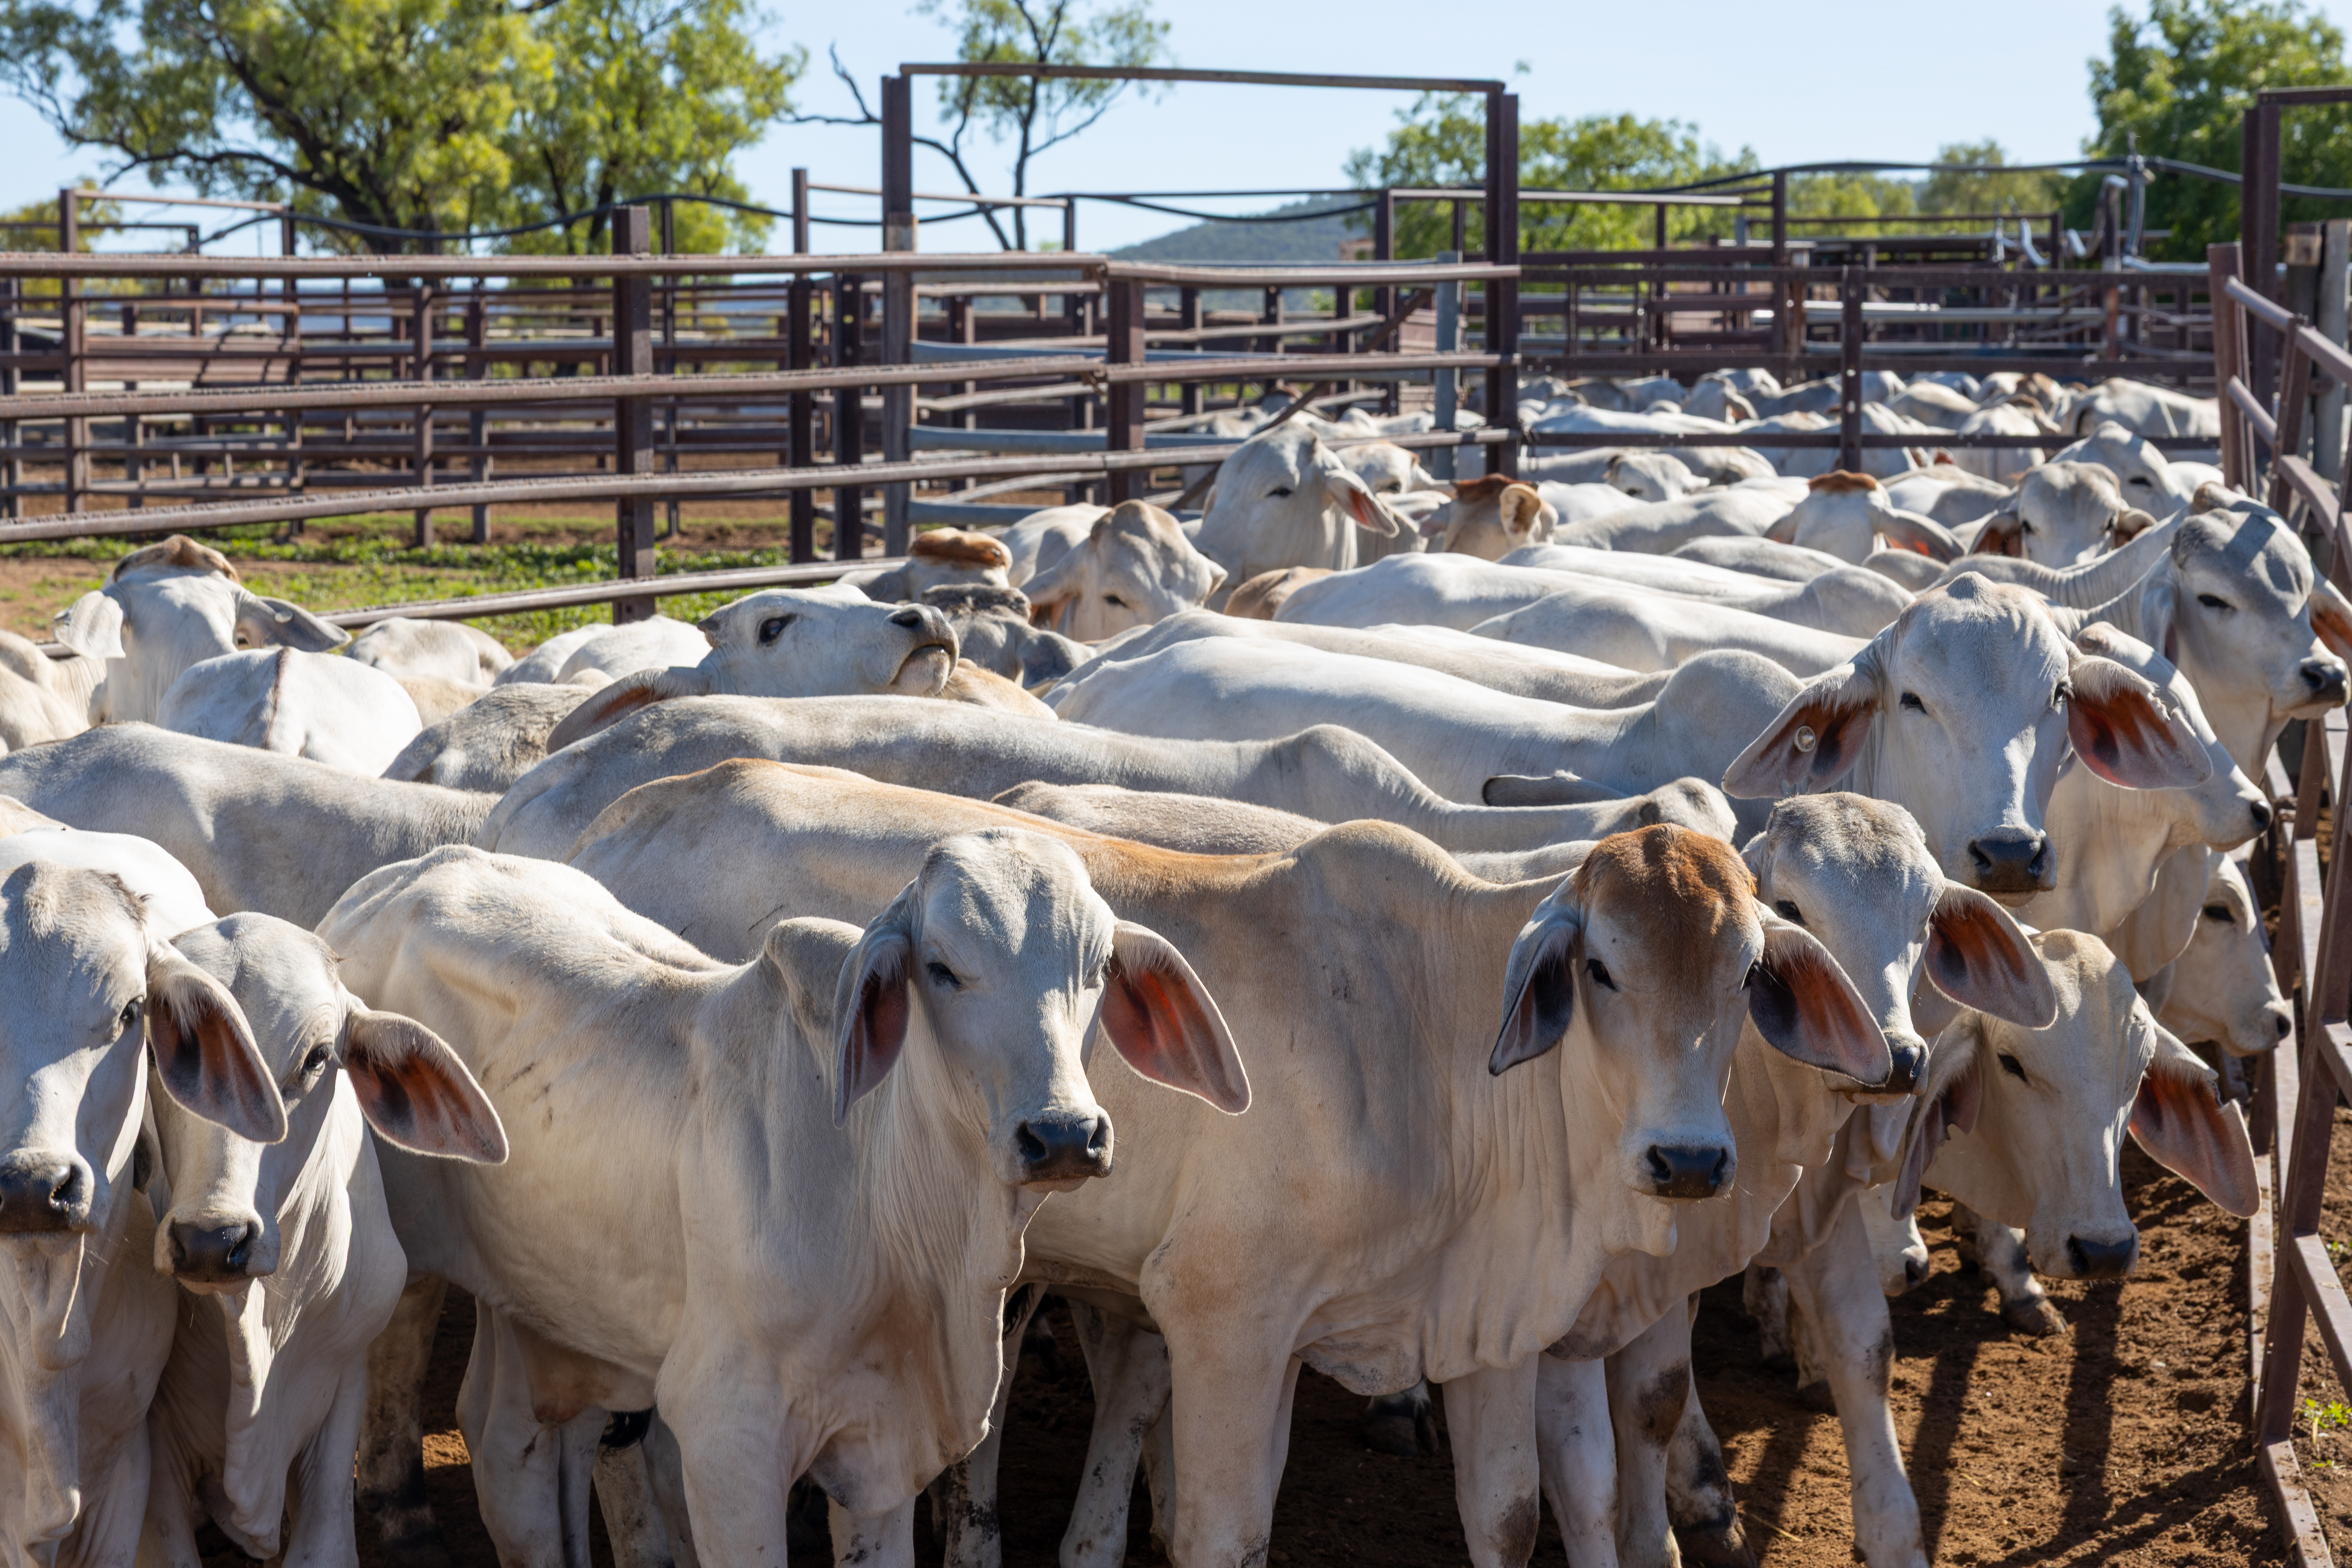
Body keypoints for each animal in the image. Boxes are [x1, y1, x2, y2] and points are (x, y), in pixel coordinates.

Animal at [329, 833, 1246, 1567]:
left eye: (1097, 971)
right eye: (943, 969)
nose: (1062, 1134)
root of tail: (399, 877)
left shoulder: (883, 1451)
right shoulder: (727, 1442)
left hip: (542, 1301)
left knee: (508, 1447)